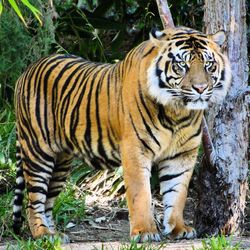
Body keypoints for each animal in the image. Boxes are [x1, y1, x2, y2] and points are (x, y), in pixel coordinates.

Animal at [11, 25, 230, 242]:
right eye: (182, 65)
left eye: (208, 65)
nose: (200, 88)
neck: (177, 111)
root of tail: (26, 70)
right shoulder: (136, 150)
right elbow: (140, 193)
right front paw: (145, 232)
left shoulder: (182, 154)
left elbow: (177, 193)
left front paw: (179, 228)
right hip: (38, 152)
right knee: (33, 200)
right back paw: (43, 234)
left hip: (61, 162)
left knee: (47, 200)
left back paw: (55, 235)